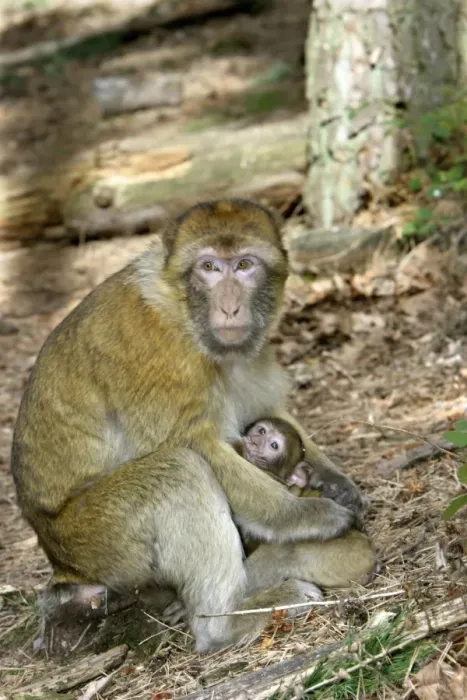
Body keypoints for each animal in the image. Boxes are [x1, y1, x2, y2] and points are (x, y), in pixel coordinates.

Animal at [11, 199, 366, 653]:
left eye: (244, 265)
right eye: (209, 267)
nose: (230, 307)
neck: (180, 313)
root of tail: (60, 560)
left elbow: (264, 406)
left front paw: (334, 480)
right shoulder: (156, 355)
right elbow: (197, 445)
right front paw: (306, 514)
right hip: (96, 540)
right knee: (178, 470)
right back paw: (224, 623)